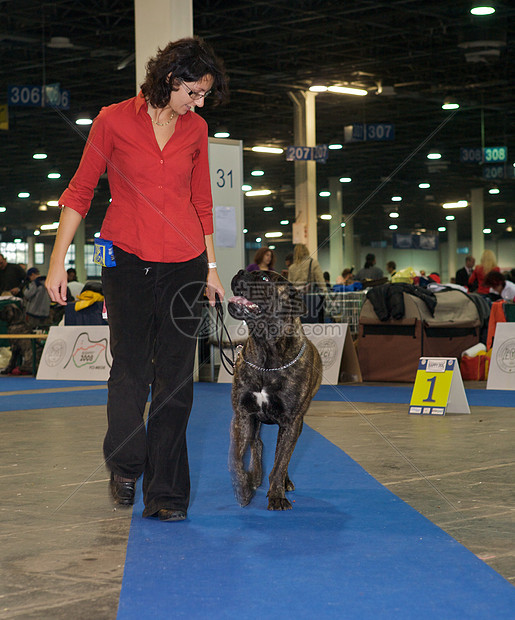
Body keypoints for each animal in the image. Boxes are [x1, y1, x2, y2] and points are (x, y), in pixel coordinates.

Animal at [227, 270, 320, 508]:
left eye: (264, 279)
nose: (240, 272)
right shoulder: (242, 414)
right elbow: (236, 458)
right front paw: (243, 486)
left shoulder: (290, 422)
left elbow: (280, 462)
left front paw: (277, 495)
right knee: (257, 444)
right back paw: (255, 477)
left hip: (297, 424)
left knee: (283, 457)